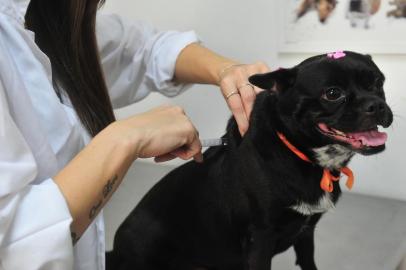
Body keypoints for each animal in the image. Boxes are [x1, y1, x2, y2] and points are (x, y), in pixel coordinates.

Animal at [107, 51, 394, 270]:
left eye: (379, 82)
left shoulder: (305, 233)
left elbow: (308, 263)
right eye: (333, 93)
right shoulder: (260, 241)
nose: (376, 105)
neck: (298, 154)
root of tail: (115, 251)